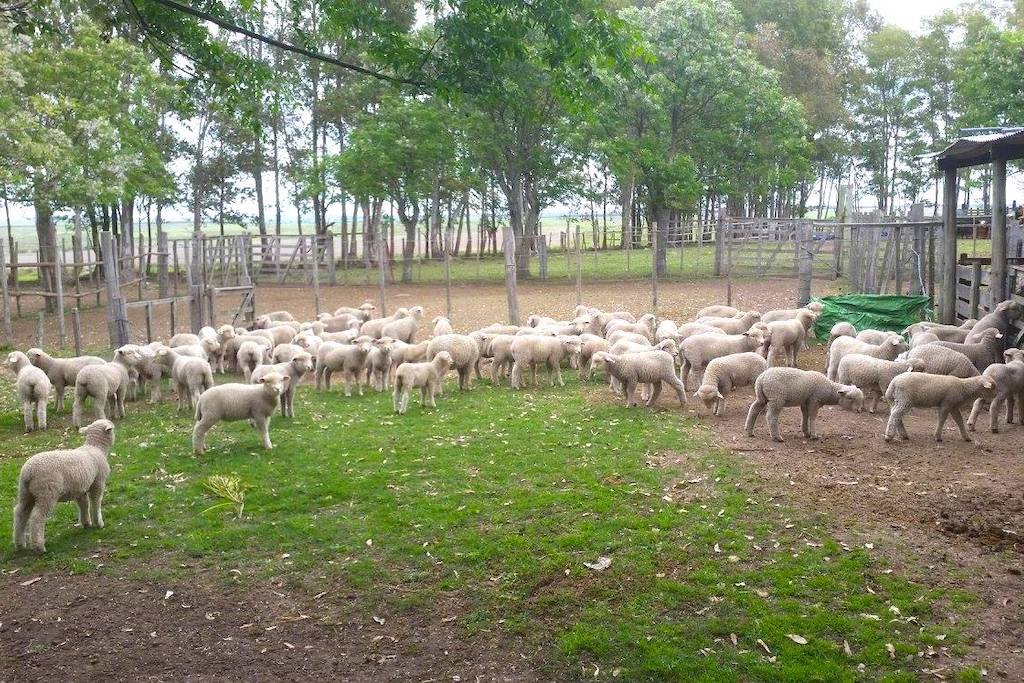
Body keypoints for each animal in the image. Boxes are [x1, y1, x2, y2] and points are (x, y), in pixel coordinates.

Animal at [12, 419, 114, 552]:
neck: (95, 447)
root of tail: (28, 472)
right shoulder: (98, 483)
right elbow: (95, 503)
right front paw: (99, 524)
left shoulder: (80, 489)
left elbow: (84, 505)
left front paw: (86, 523)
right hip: (46, 493)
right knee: (37, 517)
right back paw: (39, 547)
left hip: (25, 492)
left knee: (20, 513)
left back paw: (20, 545)